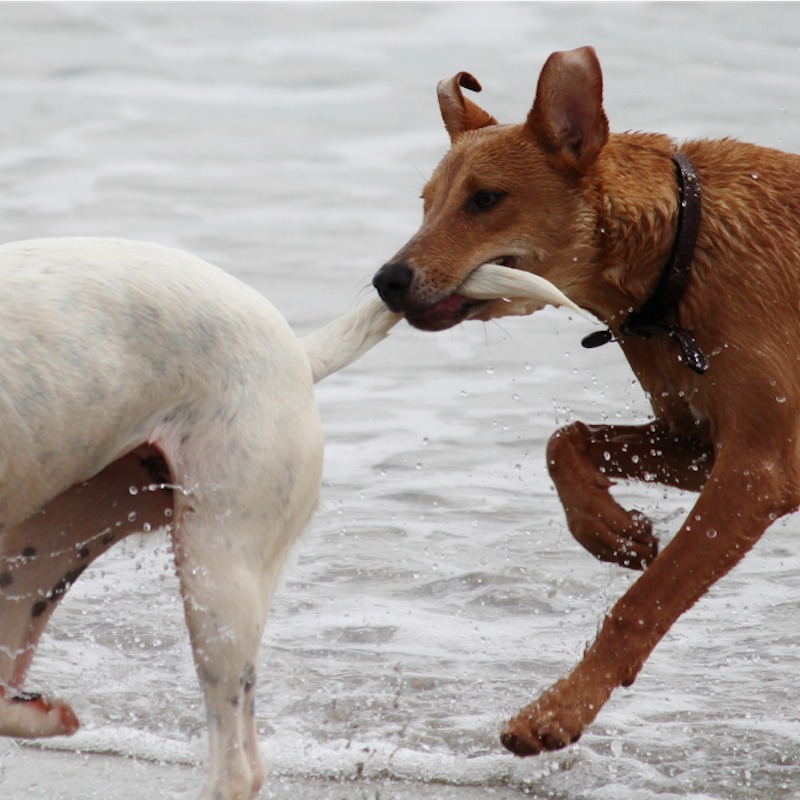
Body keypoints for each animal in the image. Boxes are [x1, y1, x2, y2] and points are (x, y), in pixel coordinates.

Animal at [372, 47, 800, 760]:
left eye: (486, 199)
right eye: (427, 203)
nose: (387, 281)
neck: (681, 252)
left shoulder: (760, 469)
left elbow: (644, 601)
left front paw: (556, 710)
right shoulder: (698, 442)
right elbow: (563, 440)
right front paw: (611, 530)